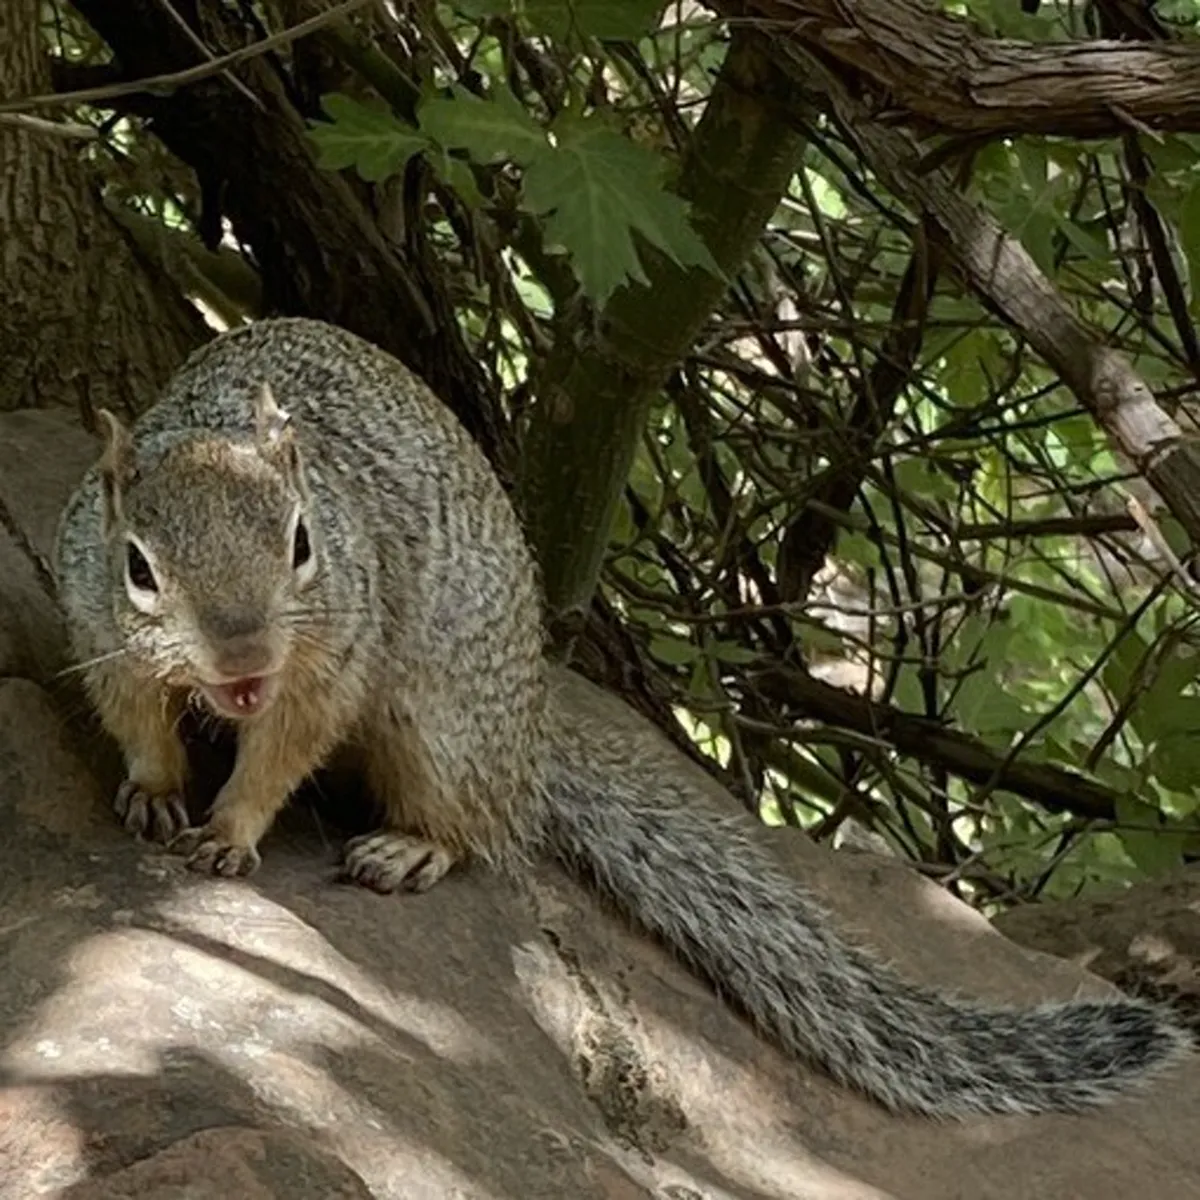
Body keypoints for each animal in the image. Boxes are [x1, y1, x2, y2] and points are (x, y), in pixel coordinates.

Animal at [55, 317, 1191, 1119]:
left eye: (301, 545)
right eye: (139, 567)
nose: (245, 661)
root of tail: (530, 726)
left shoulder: (334, 654)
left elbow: (281, 752)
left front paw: (231, 829)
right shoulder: (101, 633)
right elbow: (139, 718)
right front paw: (157, 792)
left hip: (445, 722)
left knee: (479, 820)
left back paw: (413, 847)